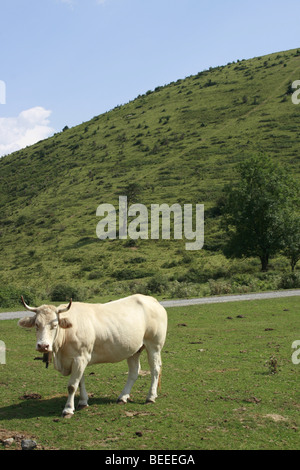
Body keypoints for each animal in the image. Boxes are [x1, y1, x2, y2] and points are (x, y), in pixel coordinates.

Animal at [18, 296, 168, 416]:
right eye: (36, 325)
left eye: (55, 325)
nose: (43, 346)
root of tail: (151, 299)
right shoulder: (78, 359)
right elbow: (80, 382)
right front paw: (83, 402)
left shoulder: (80, 358)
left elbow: (72, 385)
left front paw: (68, 409)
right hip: (133, 349)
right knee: (134, 372)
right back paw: (123, 397)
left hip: (154, 345)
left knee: (155, 369)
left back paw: (150, 397)